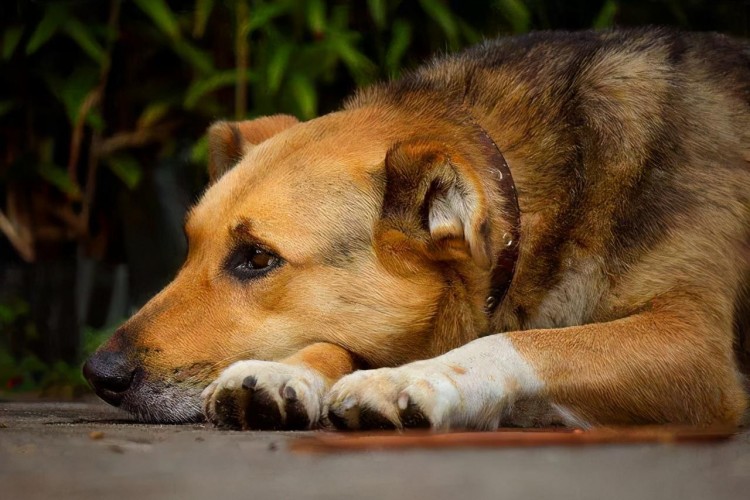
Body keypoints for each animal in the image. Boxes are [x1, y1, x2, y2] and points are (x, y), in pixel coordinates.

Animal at [83, 29, 750, 432]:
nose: (98, 375)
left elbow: (522, 343)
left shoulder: (695, 346)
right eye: (188, 247)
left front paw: (411, 379)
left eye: (257, 257)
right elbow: (336, 343)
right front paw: (282, 374)